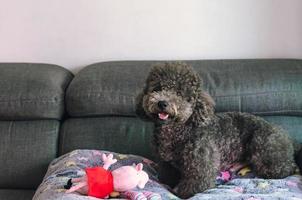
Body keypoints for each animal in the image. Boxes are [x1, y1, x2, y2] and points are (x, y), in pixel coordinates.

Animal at [136, 62, 300, 198]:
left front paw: (182, 193)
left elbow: (197, 183)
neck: (176, 130)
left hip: (263, 147)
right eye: (157, 88)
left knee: (287, 168)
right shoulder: (166, 162)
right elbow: (167, 176)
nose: (162, 103)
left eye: (179, 93)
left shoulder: (201, 163)